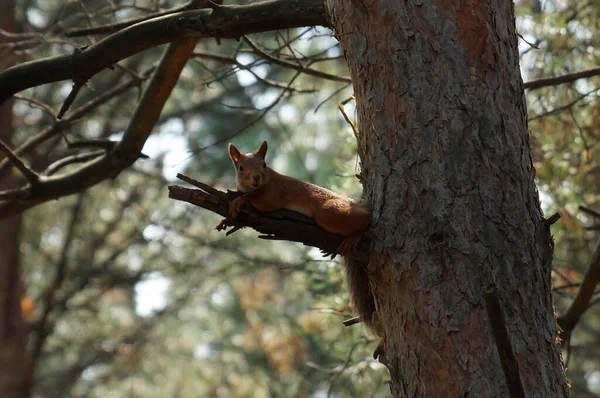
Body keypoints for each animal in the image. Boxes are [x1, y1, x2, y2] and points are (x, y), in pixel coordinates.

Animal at [227, 141, 382, 344]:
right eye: (241, 167)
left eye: (264, 164)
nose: (256, 177)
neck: (266, 181)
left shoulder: (274, 195)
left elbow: (259, 201)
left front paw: (239, 200)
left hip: (328, 213)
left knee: (365, 220)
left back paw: (357, 233)